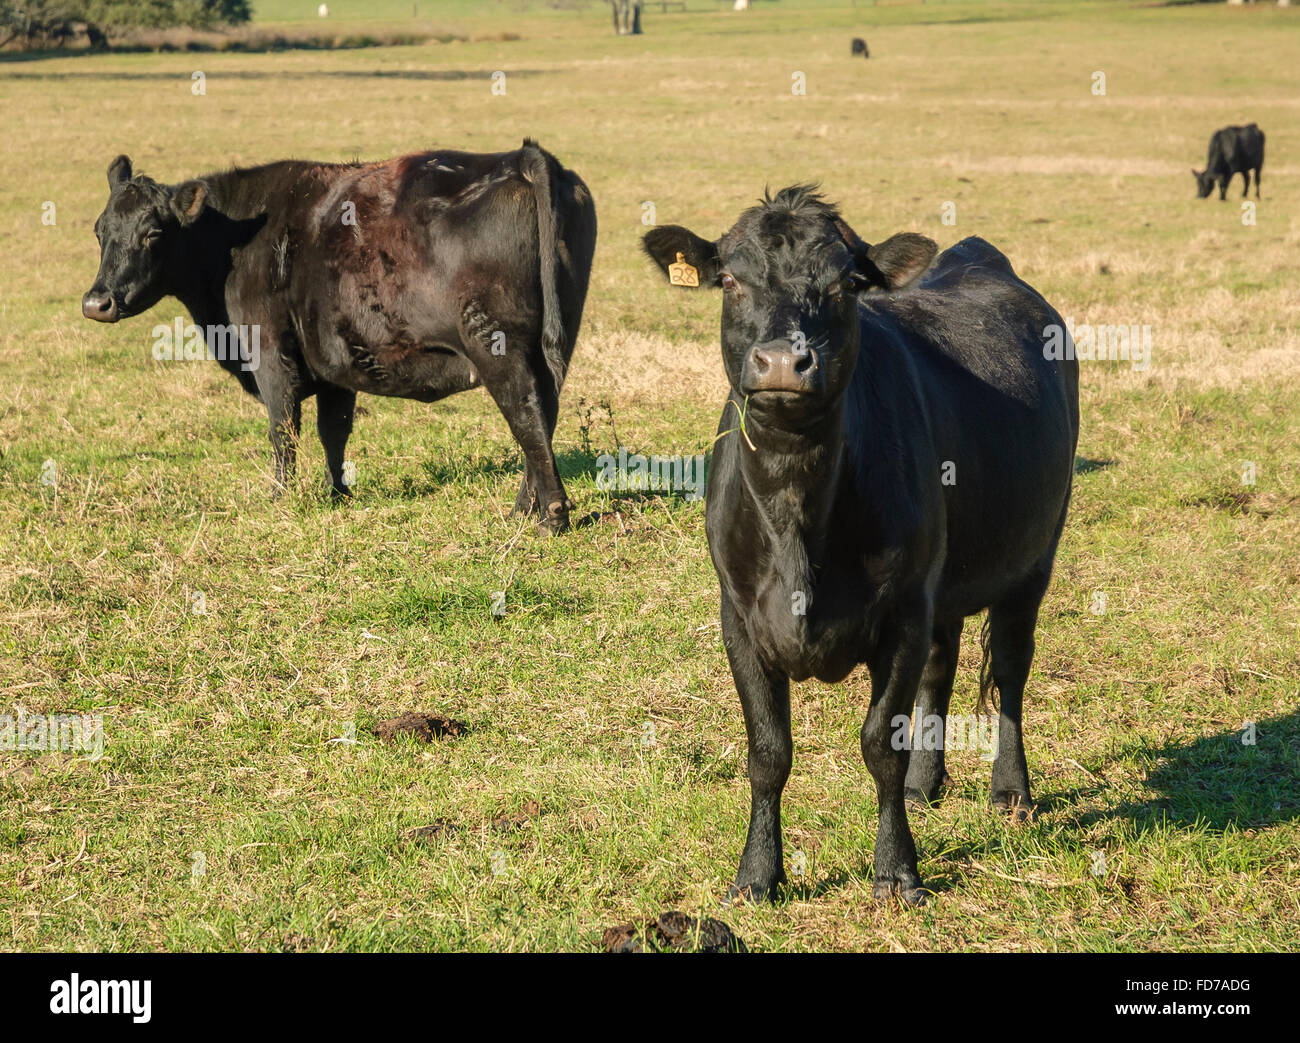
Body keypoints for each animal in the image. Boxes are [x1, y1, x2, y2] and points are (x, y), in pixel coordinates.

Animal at [76, 142, 595, 533]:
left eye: (152, 233)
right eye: (99, 230)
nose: (96, 302)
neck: (234, 239)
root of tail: (517, 157)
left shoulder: (269, 353)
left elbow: (283, 430)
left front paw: (280, 498)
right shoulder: (333, 363)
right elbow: (334, 431)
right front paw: (337, 493)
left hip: (495, 345)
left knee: (525, 414)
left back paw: (549, 516)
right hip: (554, 343)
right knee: (544, 413)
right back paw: (524, 507)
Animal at [644, 187, 1081, 899]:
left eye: (847, 284)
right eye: (730, 280)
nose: (783, 362)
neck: (796, 514)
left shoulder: (902, 612)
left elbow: (881, 743)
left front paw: (897, 870)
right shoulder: (738, 617)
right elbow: (769, 752)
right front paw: (757, 874)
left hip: (1033, 559)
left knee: (1012, 671)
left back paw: (1010, 789)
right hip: (944, 585)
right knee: (942, 666)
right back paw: (928, 783)